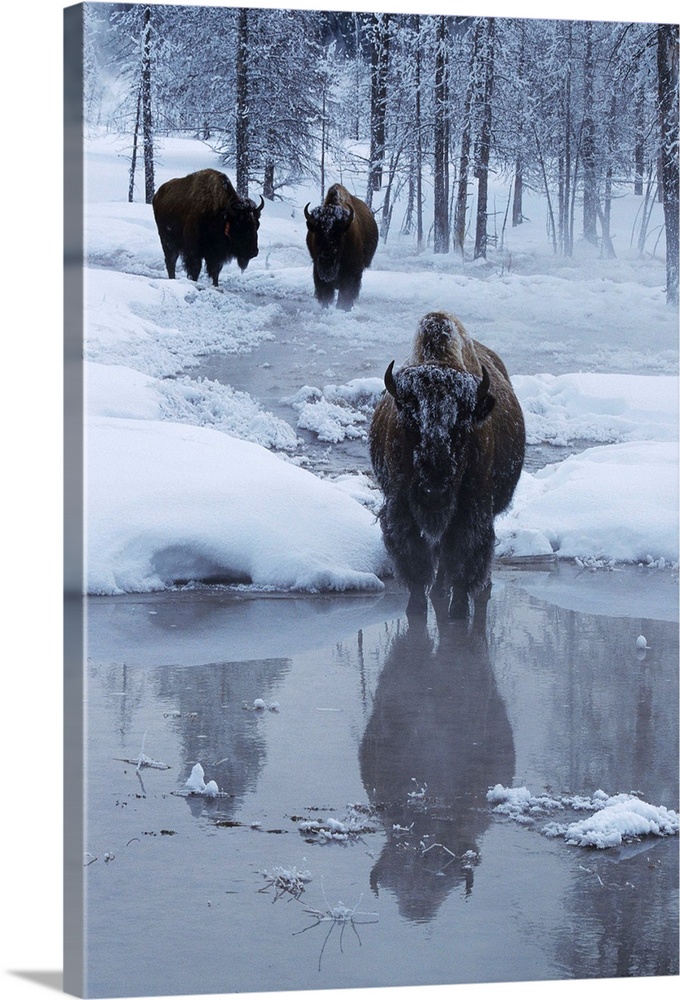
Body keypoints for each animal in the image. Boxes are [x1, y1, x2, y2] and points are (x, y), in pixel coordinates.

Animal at [370, 312, 524, 620]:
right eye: (410, 420)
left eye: (462, 424)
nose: (434, 488)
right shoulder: (401, 508)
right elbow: (416, 562)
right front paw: (417, 608)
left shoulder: (473, 510)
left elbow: (463, 560)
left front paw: (458, 612)